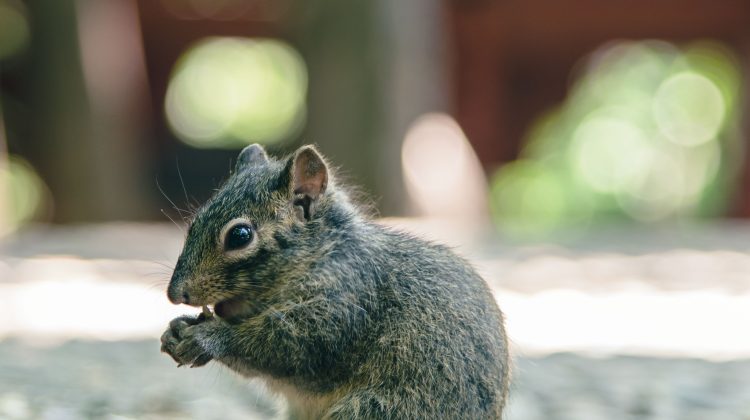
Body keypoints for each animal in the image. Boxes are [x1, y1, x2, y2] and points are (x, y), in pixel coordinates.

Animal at [160, 144, 510, 419]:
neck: (321, 255)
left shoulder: (345, 302)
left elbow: (290, 348)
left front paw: (209, 337)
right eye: (194, 223)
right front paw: (177, 329)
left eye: (240, 236)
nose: (175, 294)